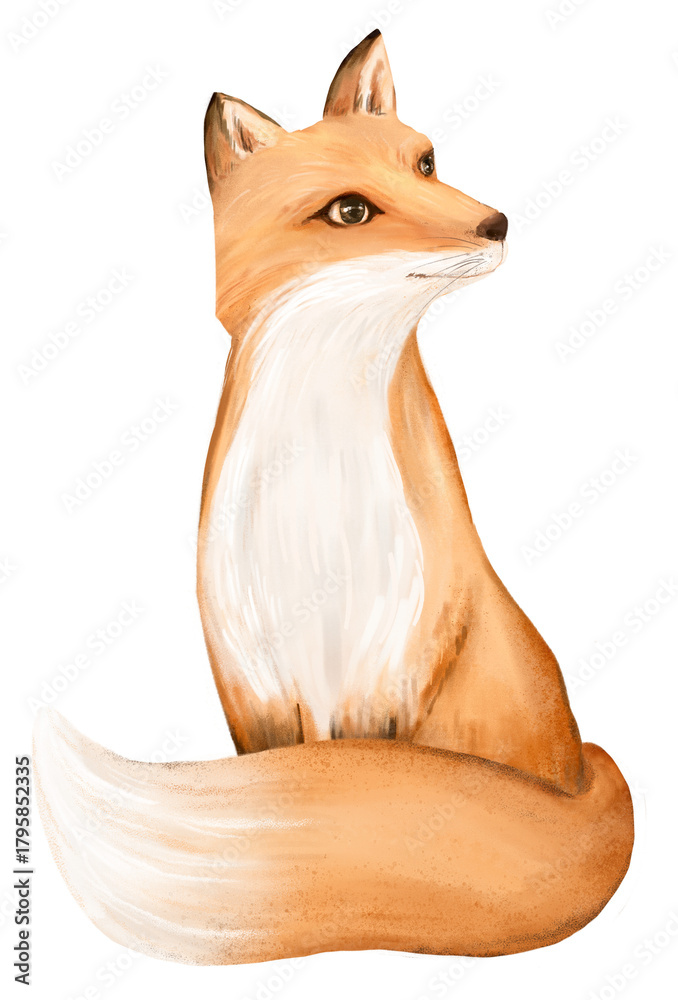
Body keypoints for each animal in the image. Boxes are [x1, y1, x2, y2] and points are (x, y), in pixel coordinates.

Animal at [34, 30, 633, 966]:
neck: (314, 526)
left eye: (426, 162)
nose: (496, 222)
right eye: (350, 212)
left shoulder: (387, 681)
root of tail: (585, 763)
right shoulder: (255, 689)